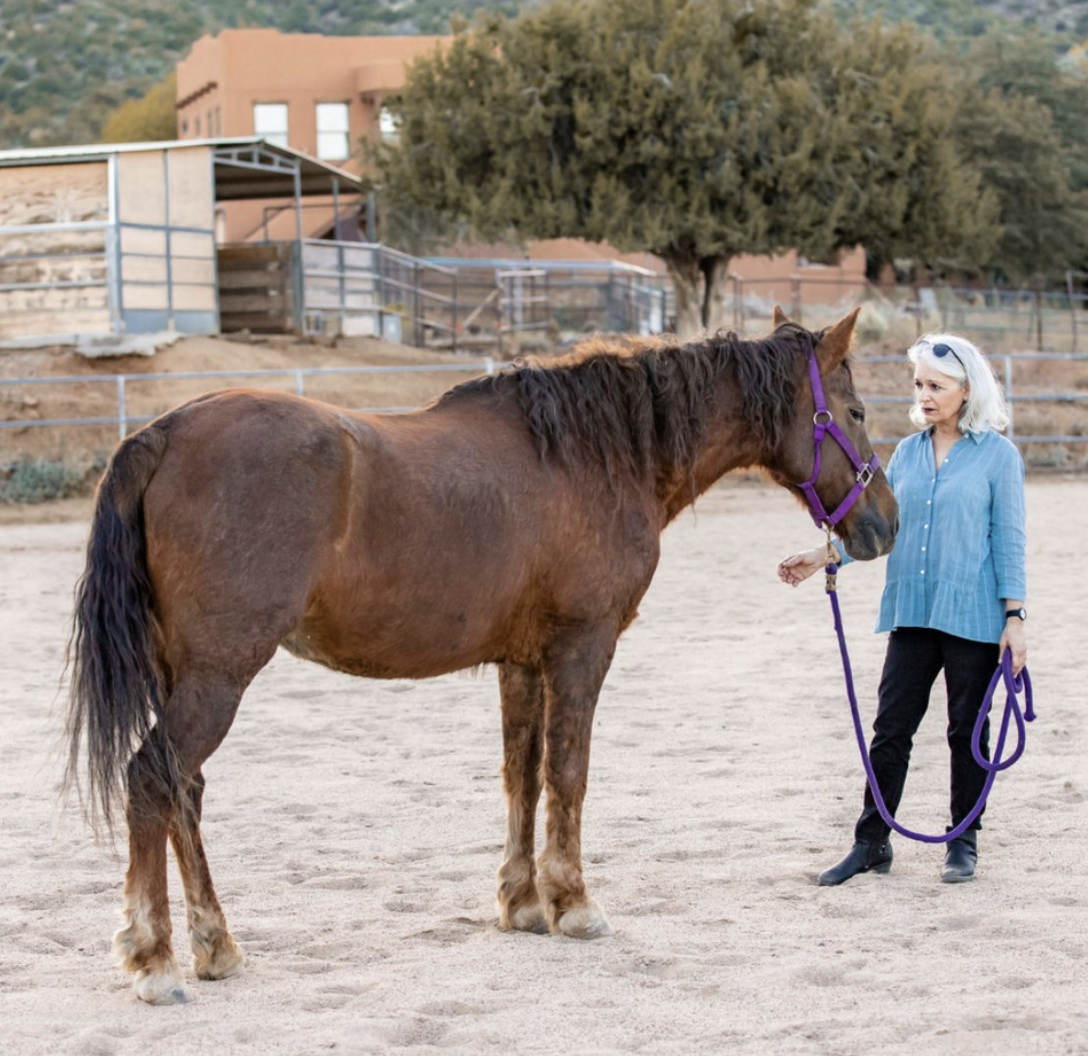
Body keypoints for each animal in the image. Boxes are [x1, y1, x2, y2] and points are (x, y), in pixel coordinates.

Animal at [65, 307, 897, 1005]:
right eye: (856, 412)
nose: (885, 524)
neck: (595, 456)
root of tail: (164, 432)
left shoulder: (521, 662)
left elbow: (520, 778)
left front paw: (523, 902)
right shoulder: (581, 648)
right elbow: (568, 773)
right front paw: (575, 904)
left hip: (186, 676)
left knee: (184, 791)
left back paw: (216, 945)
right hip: (219, 676)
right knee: (152, 780)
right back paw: (156, 959)